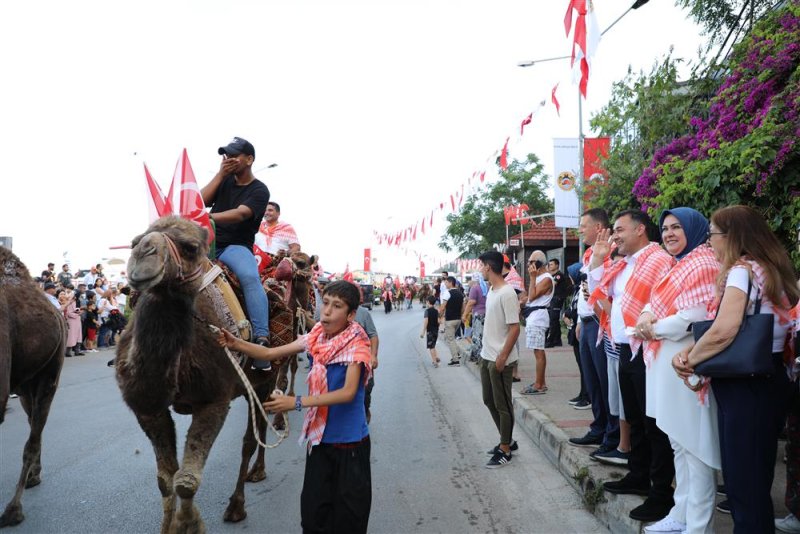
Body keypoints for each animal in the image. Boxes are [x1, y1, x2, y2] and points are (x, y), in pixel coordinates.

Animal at [115, 218, 306, 534]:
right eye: (134, 241)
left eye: (191, 247)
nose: (143, 255)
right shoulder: (148, 410)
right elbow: (165, 479)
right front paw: (170, 526)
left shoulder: (214, 401)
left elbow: (186, 482)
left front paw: (189, 524)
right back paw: (257, 472)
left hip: (264, 375)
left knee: (251, 437)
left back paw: (238, 502)